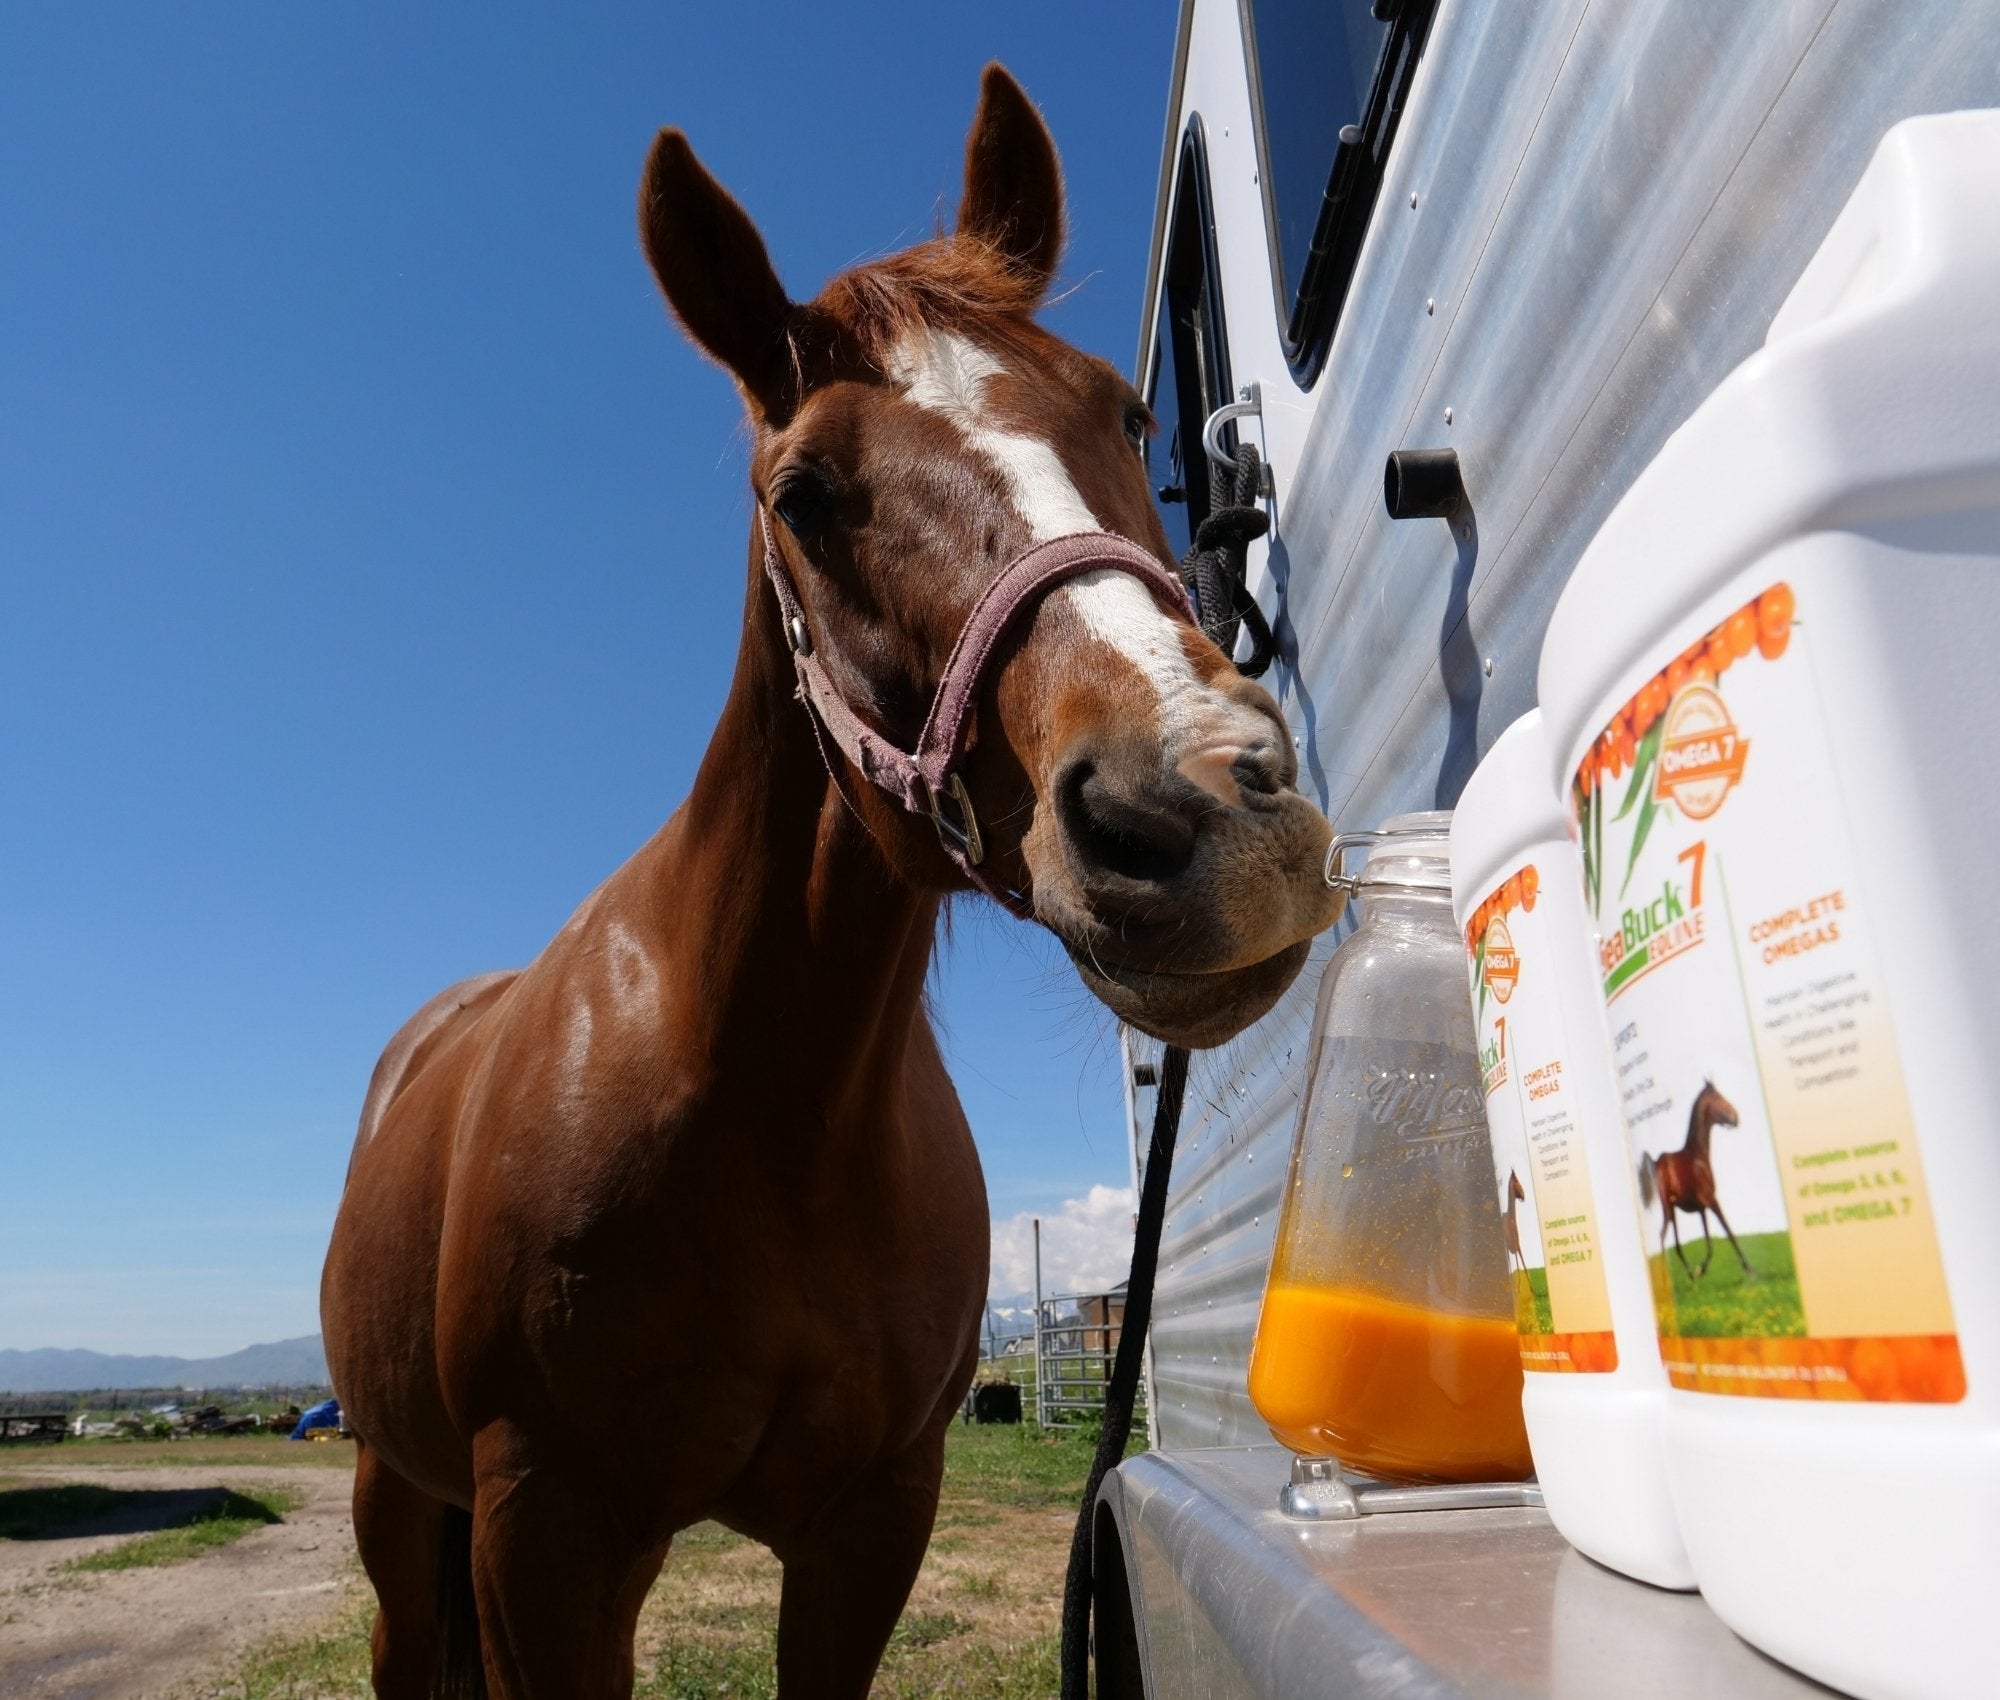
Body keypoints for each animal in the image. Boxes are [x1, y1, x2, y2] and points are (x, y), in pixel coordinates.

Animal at [320, 66, 1340, 1700]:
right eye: (801, 493)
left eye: (1127, 414)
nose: (1195, 803)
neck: (760, 1100)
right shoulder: (542, 1530)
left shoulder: (871, 1520)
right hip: (397, 1498)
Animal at [1639, 1079, 1755, 1284]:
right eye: (1718, 1098)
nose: (1736, 1117)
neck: (1697, 1157)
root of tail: (1656, 1162)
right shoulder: (1712, 1201)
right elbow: (1728, 1231)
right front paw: (1749, 1270)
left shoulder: (1702, 1209)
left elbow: (1710, 1241)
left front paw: (1701, 1270)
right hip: (1668, 1208)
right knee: (1662, 1235)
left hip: (1673, 1209)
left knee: (1676, 1243)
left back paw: (1690, 1275)